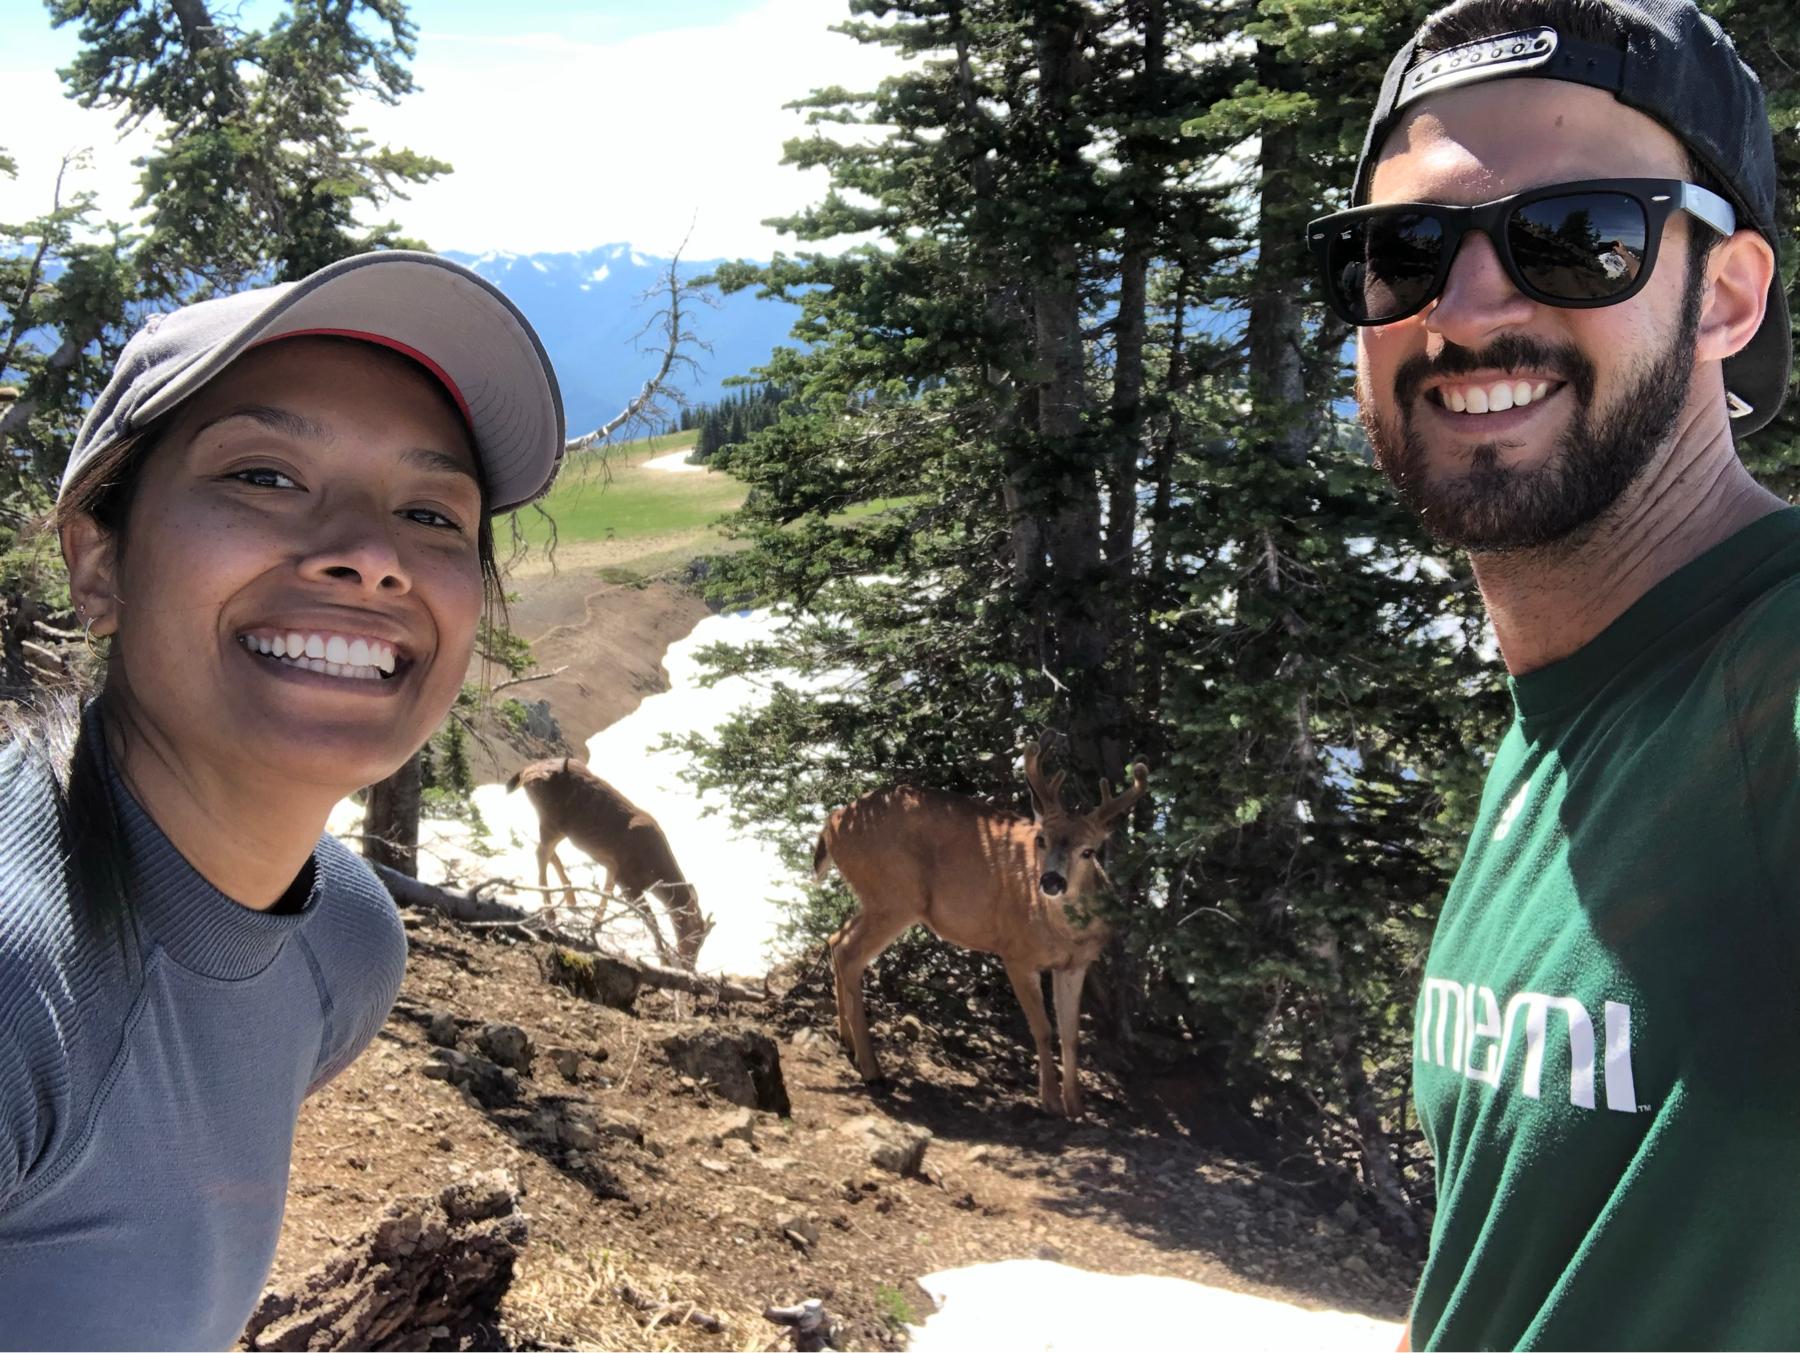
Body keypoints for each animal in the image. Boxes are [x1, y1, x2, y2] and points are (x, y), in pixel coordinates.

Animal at [507, 755, 709, 964]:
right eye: (695, 936)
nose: (689, 965)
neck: (653, 869)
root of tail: (526, 772)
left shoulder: (613, 868)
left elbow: (606, 893)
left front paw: (595, 927)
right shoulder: (627, 878)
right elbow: (650, 919)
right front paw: (663, 961)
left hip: (554, 825)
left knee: (547, 852)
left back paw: (571, 898)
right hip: (552, 821)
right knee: (541, 853)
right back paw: (551, 914)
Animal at [810, 744, 1144, 1115]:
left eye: (1088, 851)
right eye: (1041, 840)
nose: (1051, 881)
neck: (1065, 934)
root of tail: (832, 823)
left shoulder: (1076, 964)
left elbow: (1070, 1034)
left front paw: (1077, 1107)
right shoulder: (1017, 953)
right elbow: (1042, 1028)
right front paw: (1051, 1102)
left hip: (876, 899)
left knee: (836, 937)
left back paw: (847, 1042)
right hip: (895, 895)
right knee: (848, 952)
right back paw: (873, 1071)